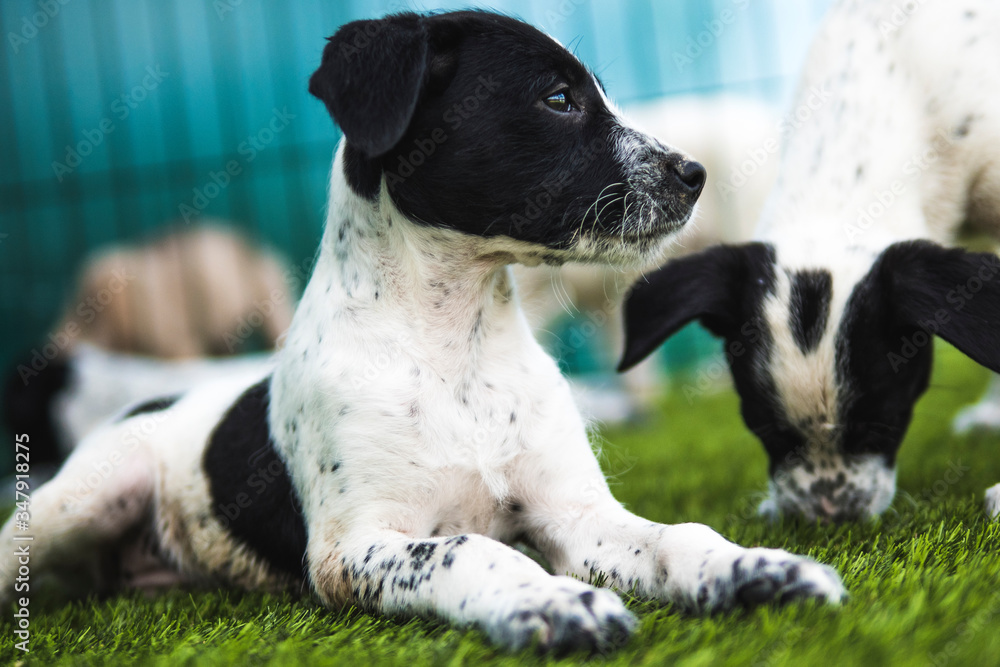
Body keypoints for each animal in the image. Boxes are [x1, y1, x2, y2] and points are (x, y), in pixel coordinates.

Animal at [0, 13, 844, 656]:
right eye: (559, 97)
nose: (693, 174)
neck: (454, 349)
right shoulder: (355, 546)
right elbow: (472, 549)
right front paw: (553, 604)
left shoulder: (577, 518)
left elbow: (679, 536)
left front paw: (755, 570)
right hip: (82, 498)